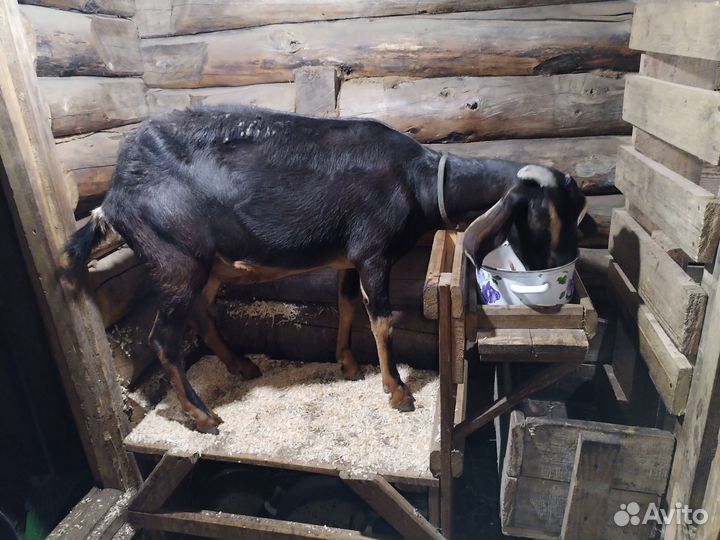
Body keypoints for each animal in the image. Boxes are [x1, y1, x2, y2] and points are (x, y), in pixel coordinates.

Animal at [64, 105, 595, 432]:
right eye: (551, 214)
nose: (561, 266)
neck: (417, 179)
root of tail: (112, 198)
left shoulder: (349, 256)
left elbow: (346, 307)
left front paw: (349, 365)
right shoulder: (374, 251)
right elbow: (381, 320)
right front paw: (397, 392)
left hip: (205, 266)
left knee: (202, 313)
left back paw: (240, 364)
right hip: (175, 261)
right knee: (162, 340)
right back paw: (203, 415)